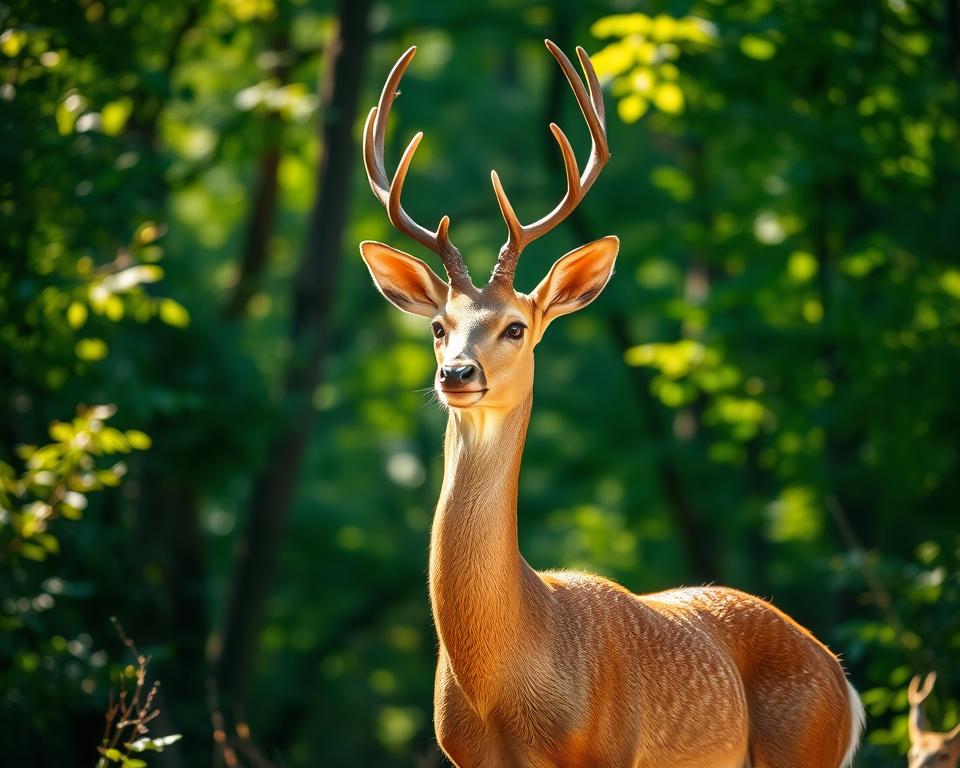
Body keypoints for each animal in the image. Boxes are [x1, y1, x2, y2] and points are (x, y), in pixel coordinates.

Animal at [358, 40, 866, 768]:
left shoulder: (607, 748)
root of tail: (842, 680)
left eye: (516, 327)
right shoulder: (462, 755)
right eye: (436, 326)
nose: (456, 372)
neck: (507, 673)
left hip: (805, 748)